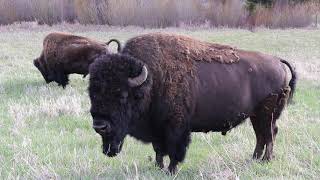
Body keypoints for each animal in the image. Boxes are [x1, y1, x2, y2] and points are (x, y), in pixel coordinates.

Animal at [88, 33, 298, 174]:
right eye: (92, 93)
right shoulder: (157, 128)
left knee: (269, 133)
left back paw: (265, 161)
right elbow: (158, 149)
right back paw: (254, 159)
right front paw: (158, 167)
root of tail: (278, 62)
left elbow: (175, 150)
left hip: (267, 114)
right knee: (261, 135)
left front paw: (171, 170)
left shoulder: (176, 127)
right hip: (256, 115)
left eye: (122, 95)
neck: (152, 80)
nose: (100, 125)